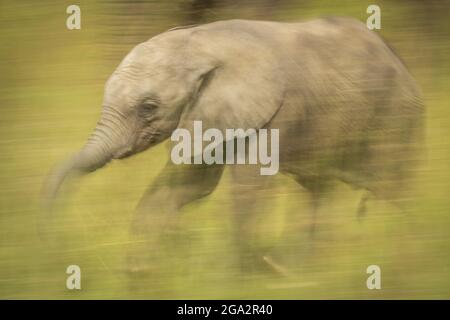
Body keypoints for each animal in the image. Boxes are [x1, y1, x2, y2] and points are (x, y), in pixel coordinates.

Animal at [41, 16, 422, 272]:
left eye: (148, 108)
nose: (52, 234)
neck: (201, 41)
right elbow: (188, 185)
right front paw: (139, 272)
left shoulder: (277, 112)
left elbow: (246, 188)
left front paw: (240, 276)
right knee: (320, 190)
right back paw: (305, 266)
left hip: (396, 120)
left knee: (391, 190)